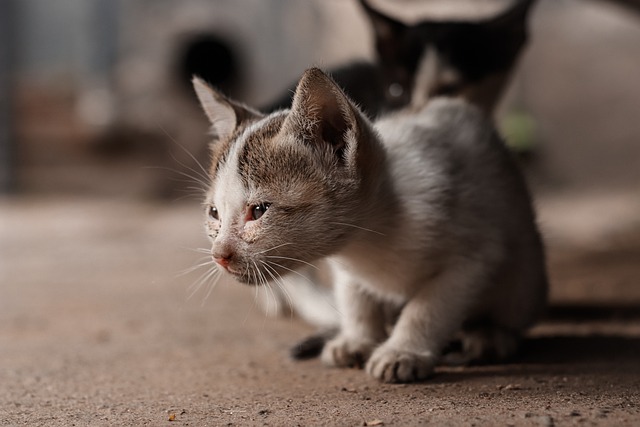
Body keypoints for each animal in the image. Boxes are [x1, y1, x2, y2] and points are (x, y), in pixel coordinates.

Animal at [192, 68, 548, 382]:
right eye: (214, 213)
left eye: (259, 210)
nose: (219, 255)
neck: (370, 239)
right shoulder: (347, 266)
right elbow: (355, 297)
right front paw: (358, 338)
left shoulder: (473, 255)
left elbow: (429, 306)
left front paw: (403, 351)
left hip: (524, 275)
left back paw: (490, 336)